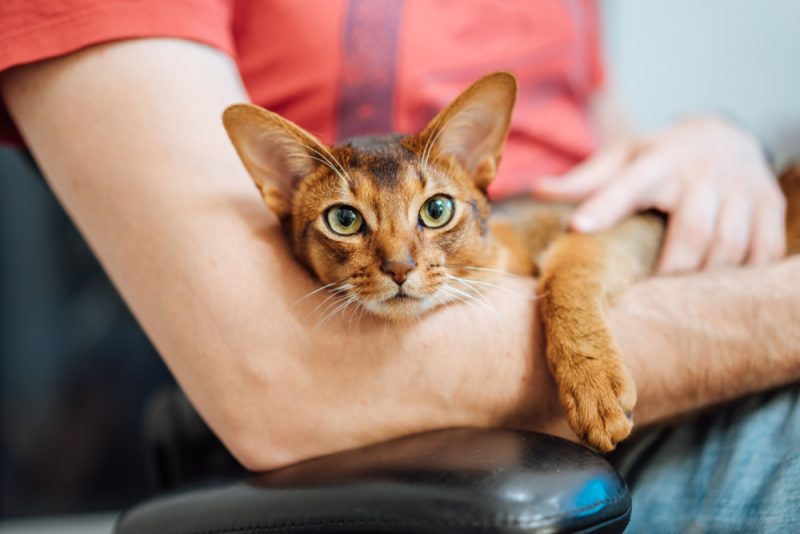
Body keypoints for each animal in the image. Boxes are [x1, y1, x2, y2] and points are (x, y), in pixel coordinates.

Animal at [223, 73, 800, 454]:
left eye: (436, 210)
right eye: (343, 219)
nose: (399, 268)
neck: (504, 253)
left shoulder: (627, 217)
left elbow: (566, 271)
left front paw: (594, 387)